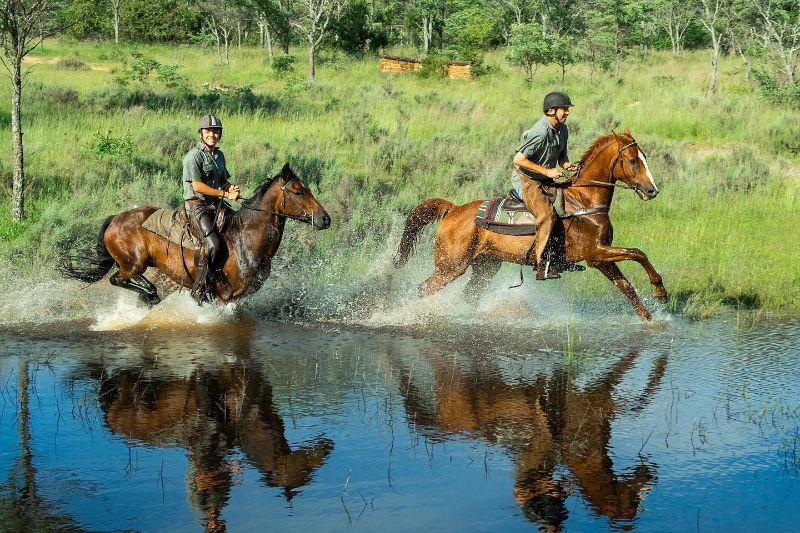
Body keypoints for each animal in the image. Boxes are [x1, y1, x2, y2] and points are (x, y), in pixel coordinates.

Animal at [58, 162, 328, 304]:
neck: (246, 238)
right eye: (298, 192)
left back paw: (150, 294)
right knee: (118, 279)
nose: (325, 219)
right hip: (133, 263)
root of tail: (115, 219)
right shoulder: (223, 297)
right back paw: (150, 295)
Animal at [396, 129, 668, 320]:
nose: (652, 190)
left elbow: (627, 286)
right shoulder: (595, 253)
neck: (583, 203)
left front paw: (650, 318)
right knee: (424, 289)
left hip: (485, 266)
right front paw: (660, 291)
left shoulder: (601, 259)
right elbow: (638, 253)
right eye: (633, 161)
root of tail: (453, 210)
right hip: (451, 267)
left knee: (469, 294)